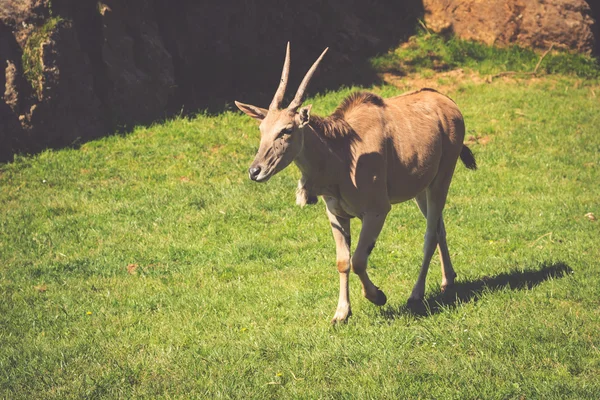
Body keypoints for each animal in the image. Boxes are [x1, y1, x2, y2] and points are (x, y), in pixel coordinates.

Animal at [234, 43, 478, 322]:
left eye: (286, 130)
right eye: (261, 129)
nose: (255, 171)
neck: (342, 155)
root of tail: (449, 104)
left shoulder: (377, 211)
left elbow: (359, 259)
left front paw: (378, 296)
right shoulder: (337, 215)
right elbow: (343, 261)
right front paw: (341, 313)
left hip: (442, 179)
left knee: (430, 234)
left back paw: (416, 293)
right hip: (421, 190)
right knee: (439, 228)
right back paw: (448, 281)